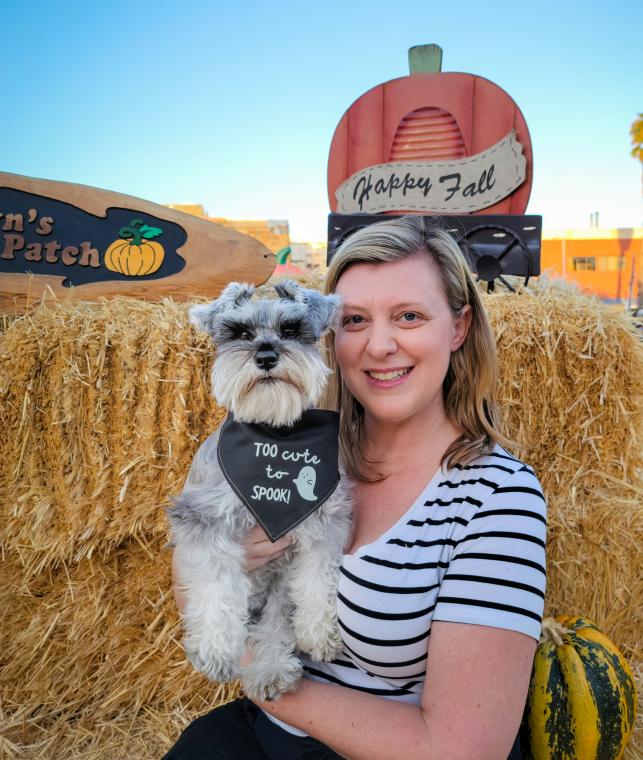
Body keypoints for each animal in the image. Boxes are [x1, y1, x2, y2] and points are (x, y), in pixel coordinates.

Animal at [167, 280, 352, 700]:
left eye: (291, 329)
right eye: (240, 333)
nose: (266, 356)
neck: (274, 434)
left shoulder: (323, 521)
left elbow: (320, 578)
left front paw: (322, 633)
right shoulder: (205, 522)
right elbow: (217, 586)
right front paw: (215, 651)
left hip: (278, 586)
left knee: (274, 622)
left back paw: (271, 669)